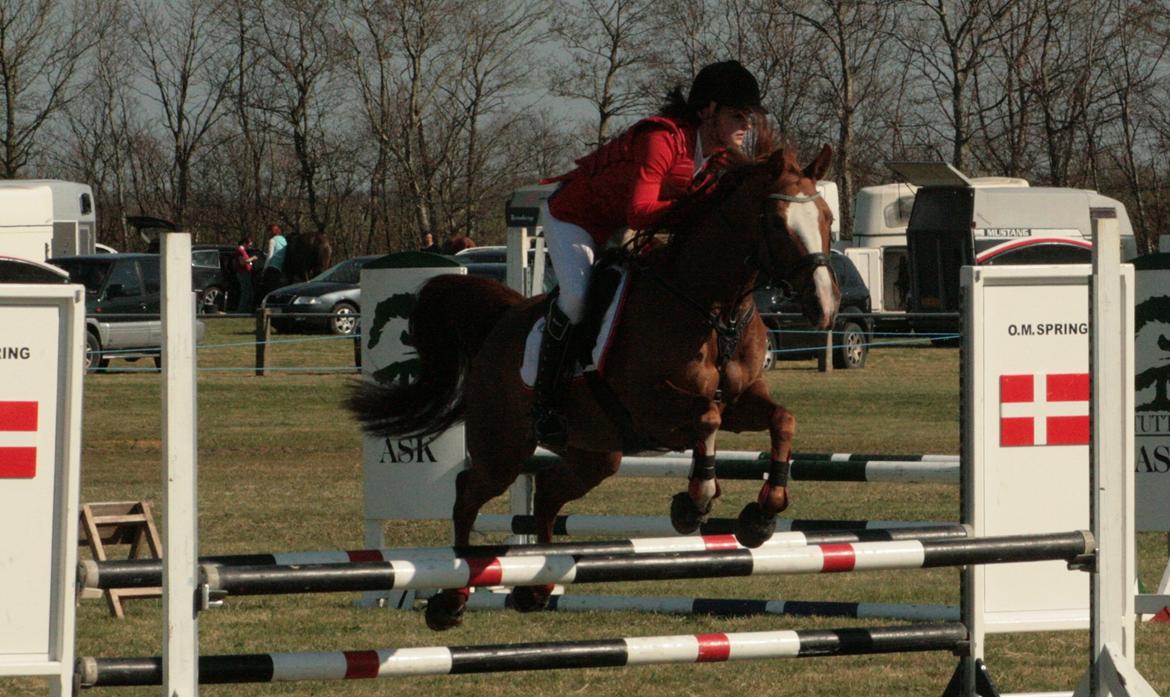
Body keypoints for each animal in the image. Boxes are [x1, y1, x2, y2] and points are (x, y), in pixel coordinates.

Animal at [346, 141, 842, 631]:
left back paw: (537, 588)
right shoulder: (652, 407)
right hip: (503, 448)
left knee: (547, 494)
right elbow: (708, 418)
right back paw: (452, 600)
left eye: (827, 219)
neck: (714, 308)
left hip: (596, 454)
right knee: (468, 494)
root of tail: (502, 321)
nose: (824, 304)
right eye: (777, 221)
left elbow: (781, 419)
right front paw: (696, 501)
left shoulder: (741, 398)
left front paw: (761, 514)